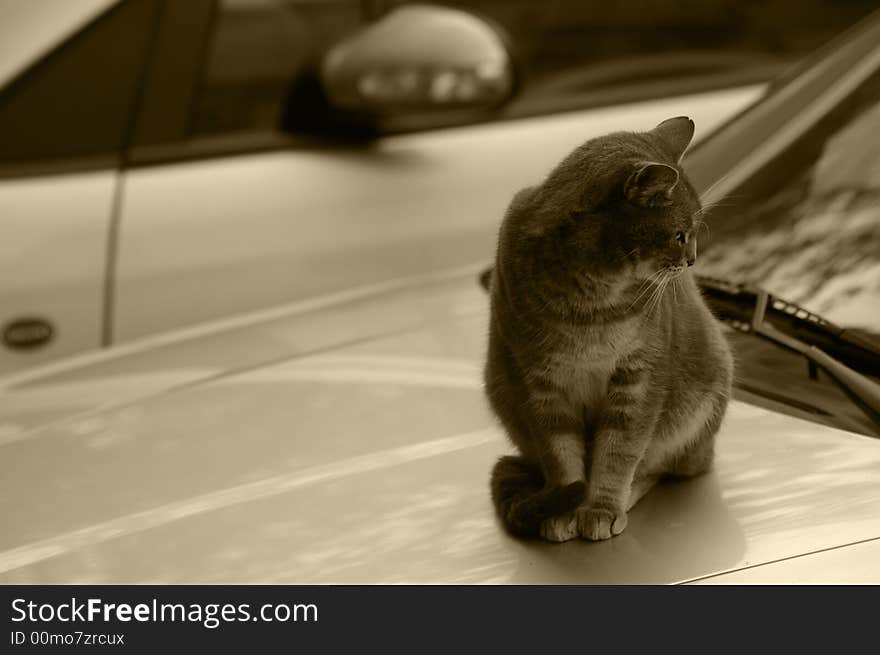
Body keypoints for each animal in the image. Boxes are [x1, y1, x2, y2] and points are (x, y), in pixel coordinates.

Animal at [484, 116, 732, 544]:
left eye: (694, 230)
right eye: (679, 234)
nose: (692, 259)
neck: (592, 304)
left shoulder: (638, 379)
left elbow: (619, 453)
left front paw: (601, 508)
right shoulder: (539, 384)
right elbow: (561, 457)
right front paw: (564, 511)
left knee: (662, 468)